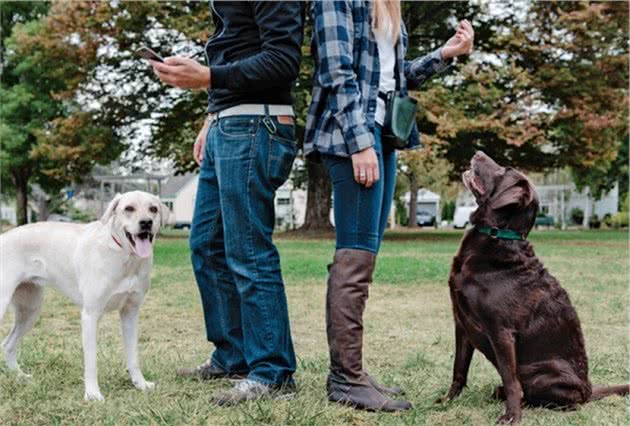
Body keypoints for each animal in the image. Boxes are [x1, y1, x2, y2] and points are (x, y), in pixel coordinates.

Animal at [0, 191, 169, 402]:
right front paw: (92, 393)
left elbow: (133, 356)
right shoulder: (90, 315)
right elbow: (91, 360)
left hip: (30, 311)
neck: (125, 257)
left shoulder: (130, 313)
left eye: (153, 208)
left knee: (8, 345)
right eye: (129, 208)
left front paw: (140, 384)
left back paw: (20, 376)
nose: (146, 222)